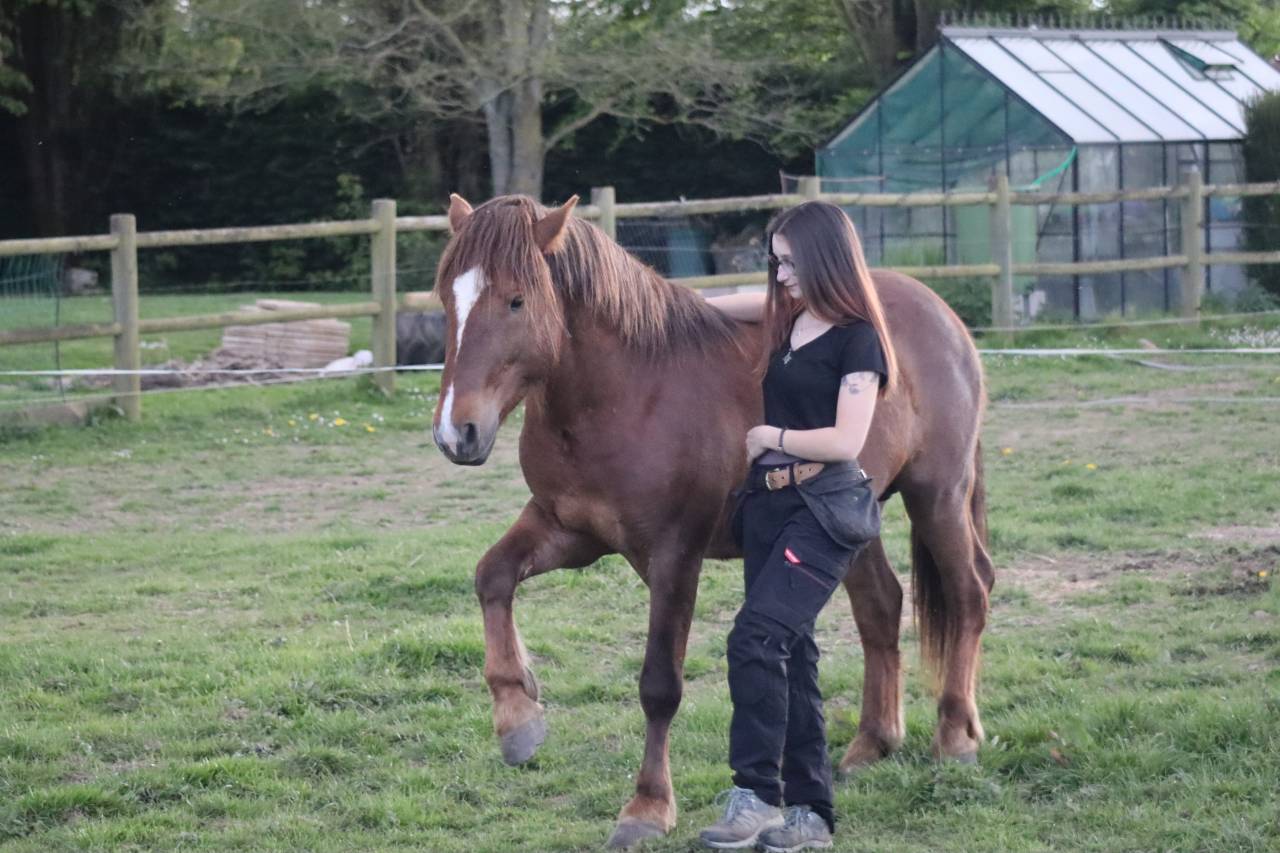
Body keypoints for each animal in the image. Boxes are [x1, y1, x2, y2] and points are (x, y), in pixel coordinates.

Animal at [430, 193, 993, 849]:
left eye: (517, 300)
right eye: (447, 299)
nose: (458, 432)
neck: (625, 394)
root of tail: (942, 314)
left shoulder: (674, 554)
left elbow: (659, 684)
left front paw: (648, 807)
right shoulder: (567, 531)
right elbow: (491, 577)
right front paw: (518, 718)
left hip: (937, 497)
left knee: (968, 595)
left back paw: (955, 738)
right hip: (854, 515)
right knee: (881, 606)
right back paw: (870, 746)